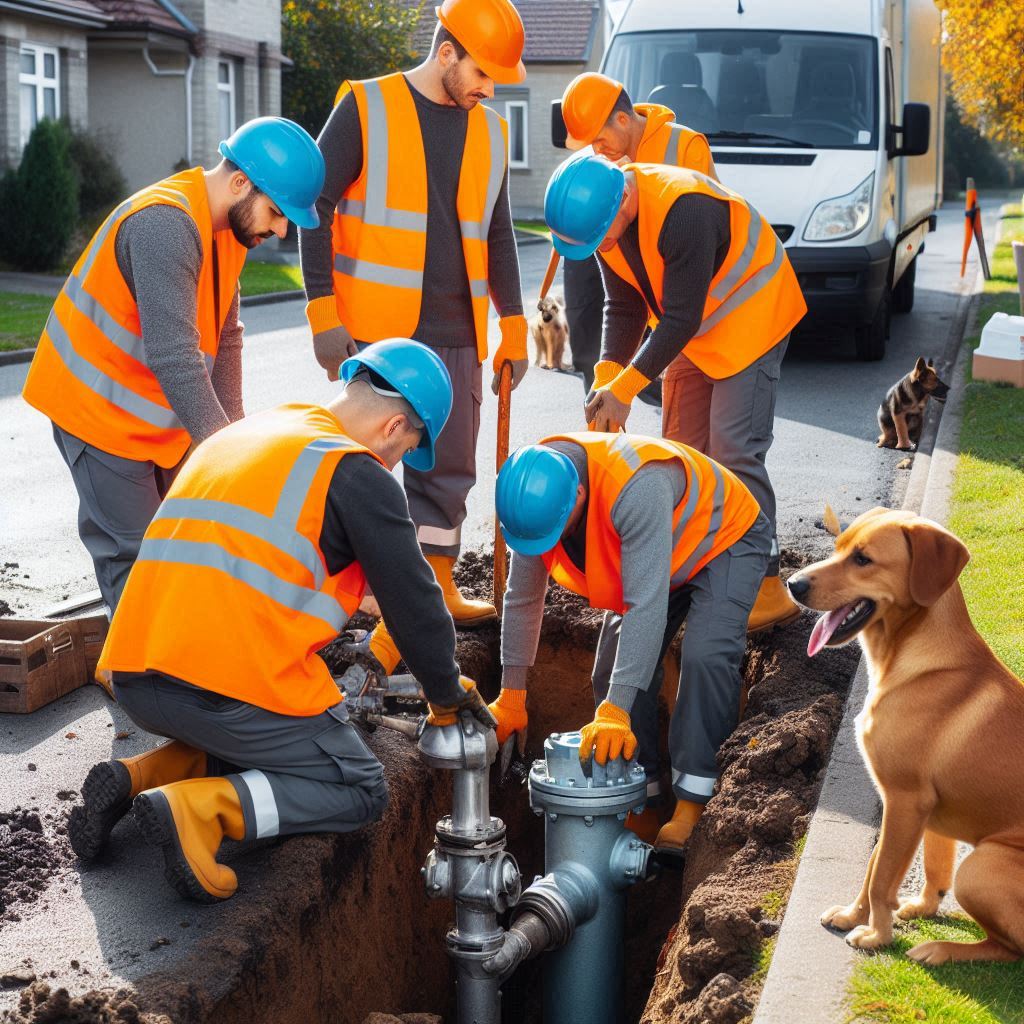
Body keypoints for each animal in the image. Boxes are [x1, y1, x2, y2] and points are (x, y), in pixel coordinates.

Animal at [790, 512, 1024, 966]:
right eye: (838, 546)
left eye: (863, 559)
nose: (792, 583)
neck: (906, 659)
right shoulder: (910, 807)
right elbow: (885, 869)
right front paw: (856, 915)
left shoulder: (904, 800)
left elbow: (882, 877)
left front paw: (876, 936)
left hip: (981, 865)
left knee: (1011, 947)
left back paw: (939, 949)